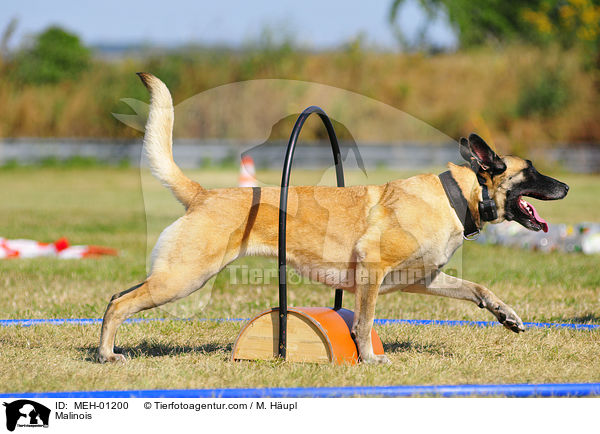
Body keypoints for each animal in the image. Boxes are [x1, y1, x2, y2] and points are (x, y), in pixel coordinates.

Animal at [97, 73, 568, 362]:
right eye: (531, 171)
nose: (565, 187)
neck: (457, 195)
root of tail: (203, 194)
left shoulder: (423, 279)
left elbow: (478, 289)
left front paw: (506, 315)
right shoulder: (373, 270)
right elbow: (363, 322)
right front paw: (370, 359)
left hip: (174, 274)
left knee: (115, 296)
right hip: (185, 277)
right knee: (120, 303)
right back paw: (105, 354)